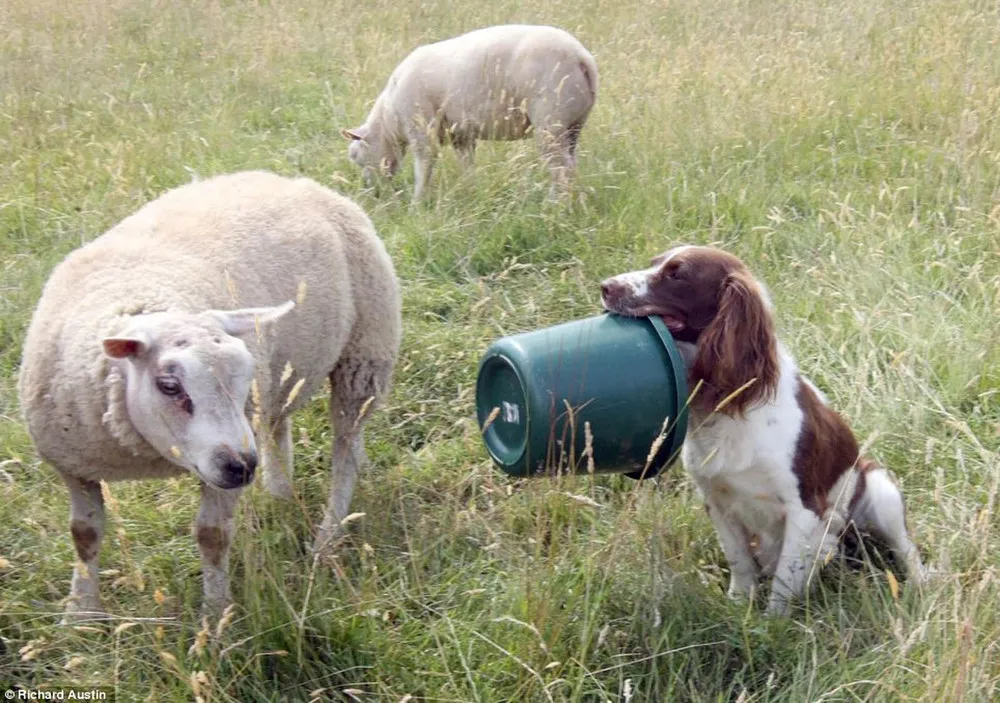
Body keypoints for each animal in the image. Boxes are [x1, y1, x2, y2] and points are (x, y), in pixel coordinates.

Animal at [17, 172, 400, 620]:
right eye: (170, 385)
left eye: (243, 377)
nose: (243, 467)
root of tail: (295, 180)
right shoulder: (72, 465)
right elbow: (84, 535)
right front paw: (79, 614)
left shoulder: (223, 466)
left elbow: (212, 536)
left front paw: (216, 617)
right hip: (284, 374)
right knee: (278, 423)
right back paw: (279, 495)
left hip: (364, 357)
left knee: (346, 450)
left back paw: (327, 536)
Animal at [344, 24, 596, 201]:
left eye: (355, 156)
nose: (372, 192)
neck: (389, 120)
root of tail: (582, 58)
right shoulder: (461, 135)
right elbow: (467, 166)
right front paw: (470, 191)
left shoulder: (421, 127)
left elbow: (424, 167)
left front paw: (417, 204)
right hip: (573, 124)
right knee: (570, 164)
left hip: (550, 121)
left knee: (562, 170)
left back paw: (556, 206)